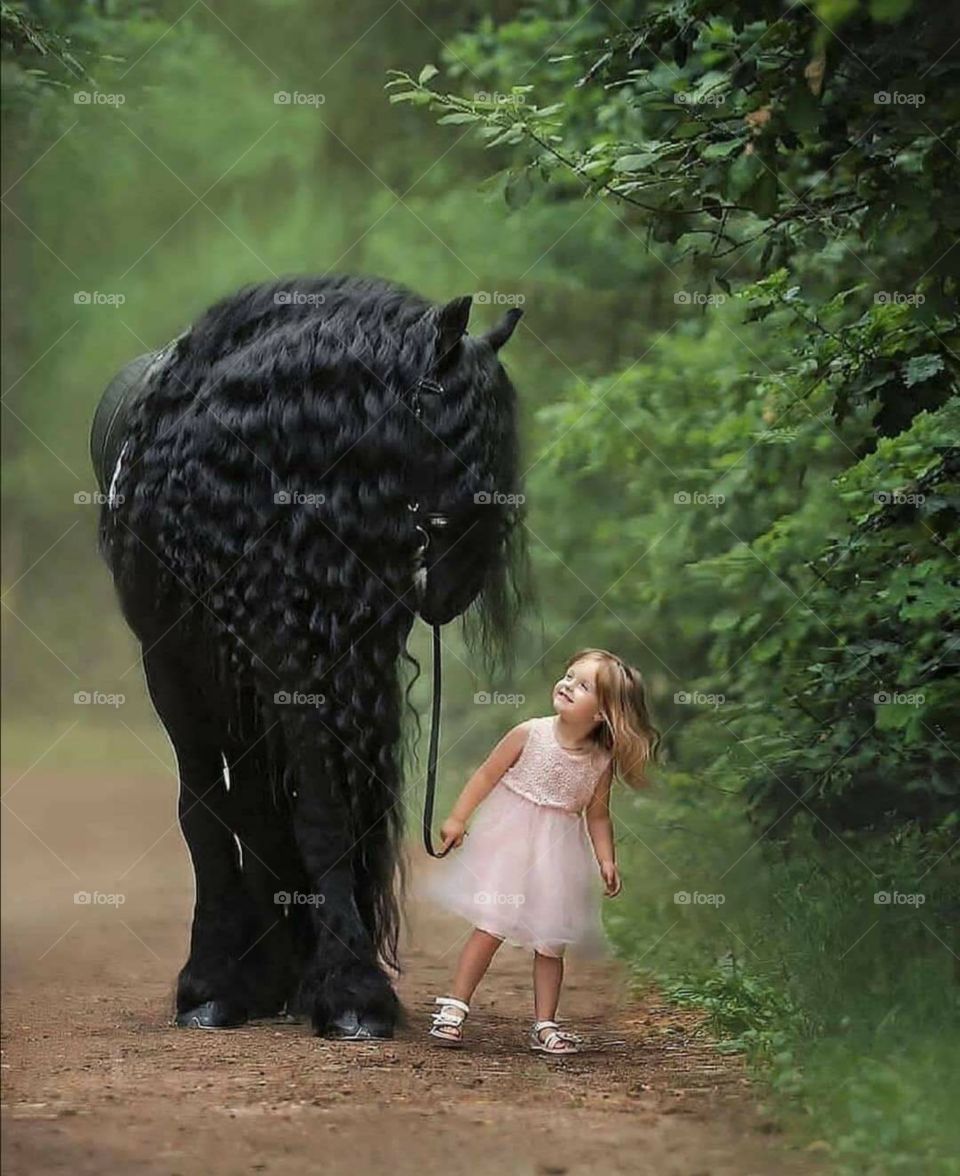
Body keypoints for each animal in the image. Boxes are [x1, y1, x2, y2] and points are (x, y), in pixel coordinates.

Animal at [90, 274, 529, 1038]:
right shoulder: (205, 660)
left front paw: (343, 987)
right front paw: (227, 985)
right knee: (232, 802)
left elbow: (323, 813)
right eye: (443, 416)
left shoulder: (333, 660)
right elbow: (229, 812)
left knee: (262, 802)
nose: (459, 581)